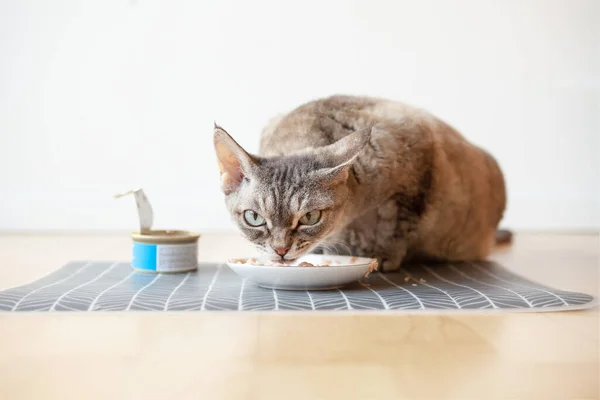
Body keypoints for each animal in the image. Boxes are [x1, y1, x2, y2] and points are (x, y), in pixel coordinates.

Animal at [213, 94, 508, 272]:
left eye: (309, 217)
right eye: (254, 218)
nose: (281, 250)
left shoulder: (417, 173)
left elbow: (400, 227)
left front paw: (383, 255)